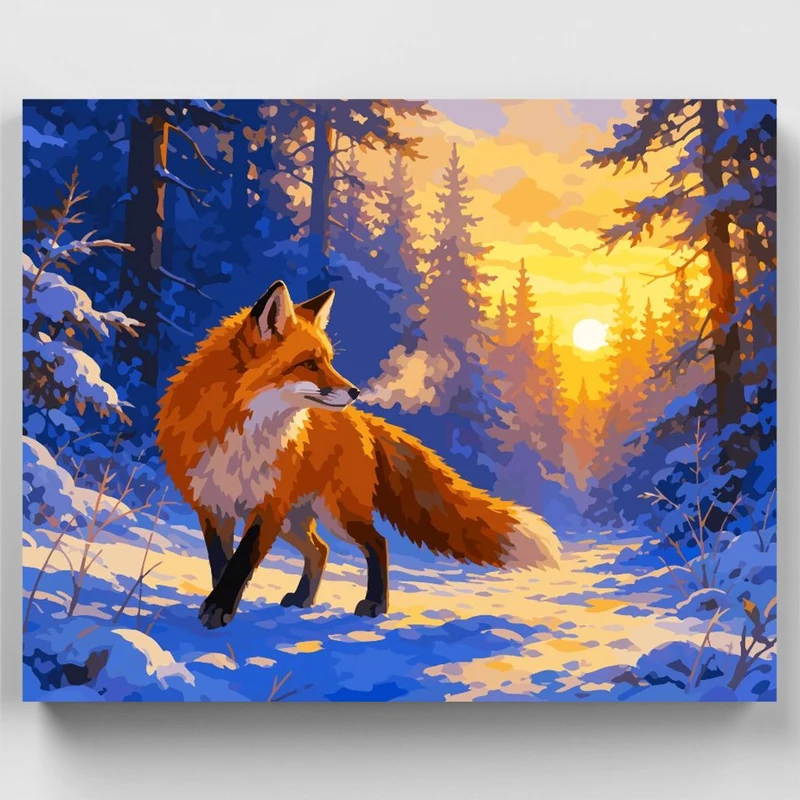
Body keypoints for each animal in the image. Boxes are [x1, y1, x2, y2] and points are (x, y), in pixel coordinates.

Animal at [156, 280, 560, 629]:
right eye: (310, 363)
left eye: (329, 360)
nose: (355, 391)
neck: (243, 431)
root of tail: (363, 421)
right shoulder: (212, 505)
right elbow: (221, 565)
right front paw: (217, 605)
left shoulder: (267, 508)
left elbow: (240, 563)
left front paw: (219, 610)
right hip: (297, 519)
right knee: (320, 550)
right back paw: (304, 599)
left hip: (335, 513)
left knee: (376, 543)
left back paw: (375, 605)